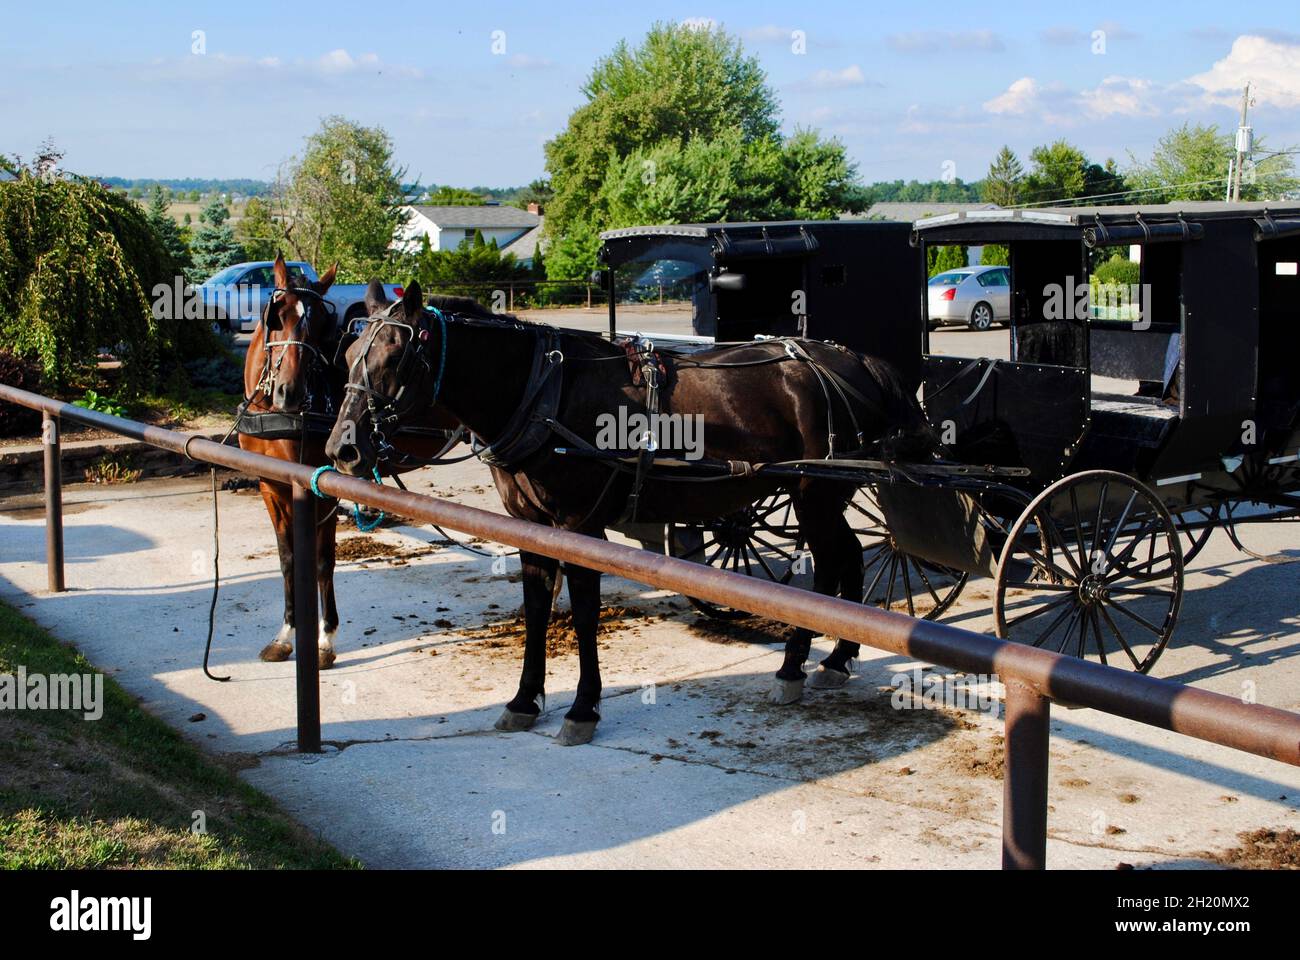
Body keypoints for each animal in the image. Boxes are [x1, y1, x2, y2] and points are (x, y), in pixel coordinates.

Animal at [239, 257, 462, 671]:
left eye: (318, 326)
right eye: (277, 316)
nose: (291, 392)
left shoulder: (322, 489)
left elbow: (322, 561)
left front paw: (325, 640)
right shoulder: (270, 486)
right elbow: (287, 559)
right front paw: (284, 635)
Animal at [327, 280, 935, 744]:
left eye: (396, 356)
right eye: (351, 357)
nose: (342, 449)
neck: (543, 392)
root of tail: (850, 359)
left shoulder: (580, 526)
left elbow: (585, 614)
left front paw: (582, 708)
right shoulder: (532, 529)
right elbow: (536, 611)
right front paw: (525, 701)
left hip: (814, 495)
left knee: (832, 564)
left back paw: (799, 665)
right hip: (820, 497)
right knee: (847, 556)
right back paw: (833, 659)